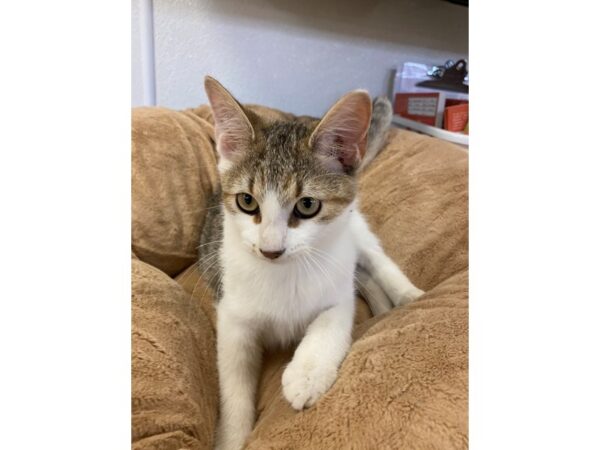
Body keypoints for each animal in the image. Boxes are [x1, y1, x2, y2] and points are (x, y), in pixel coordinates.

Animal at [198, 77, 422, 450]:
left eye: (307, 205)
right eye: (247, 201)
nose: (270, 250)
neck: (285, 273)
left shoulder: (338, 288)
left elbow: (332, 318)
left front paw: (307, 374)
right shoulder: (231, 313)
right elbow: (233, 381)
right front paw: (231, 437)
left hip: (353, 229)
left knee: (373, 259)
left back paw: (407, 295)